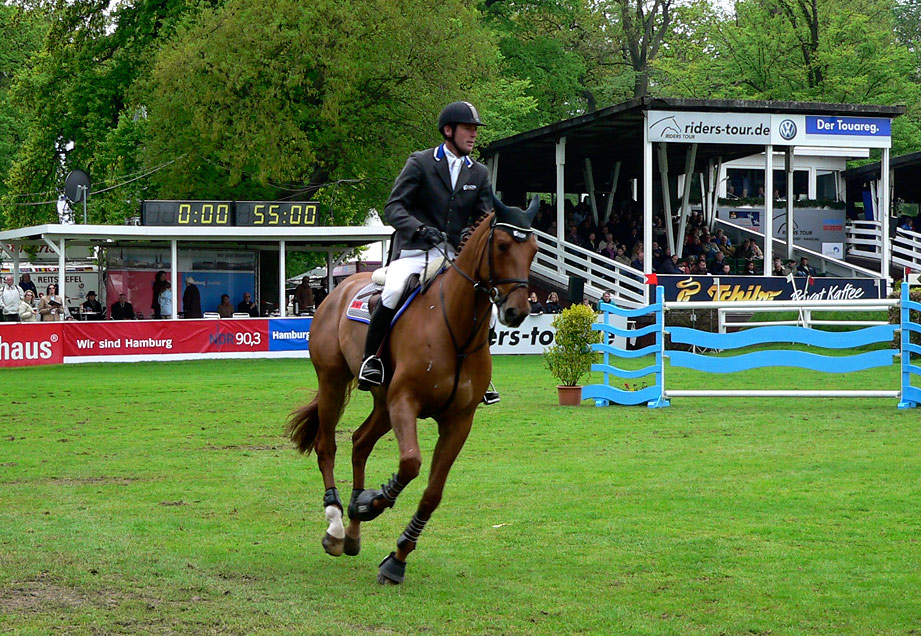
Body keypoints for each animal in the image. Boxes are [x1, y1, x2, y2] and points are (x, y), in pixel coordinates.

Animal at [284, 196, 536, 584]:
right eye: (503, 245)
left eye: (535, 250)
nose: (516, 312)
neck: (456, 330)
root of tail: (339, 288)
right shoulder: (405, 402)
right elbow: (410, 463)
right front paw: (372, 503)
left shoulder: (458, 421)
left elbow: (432, 492)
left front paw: (397, 557)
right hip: (333, 382)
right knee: (328, 447)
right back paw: (337, 525)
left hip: (381, 403)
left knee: (360, 442)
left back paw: (353, 528)